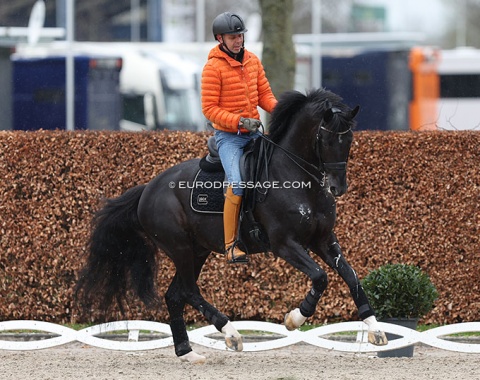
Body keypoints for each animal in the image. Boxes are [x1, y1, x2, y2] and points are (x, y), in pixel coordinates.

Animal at [77, 87, 388, 364]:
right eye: (326, 138)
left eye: (349, 139)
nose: (338, 187)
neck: (297, 177)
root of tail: (147, 189)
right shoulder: (285, 244)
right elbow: (321, 277)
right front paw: (294, 318)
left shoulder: (324, 240)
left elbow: (351, 277)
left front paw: (375, 328)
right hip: (180, 248)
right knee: (189, 291)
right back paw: (230, 333)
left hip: (197, 251)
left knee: (175, 295)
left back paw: (188, 353)